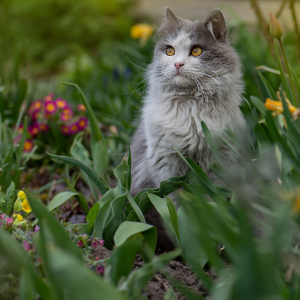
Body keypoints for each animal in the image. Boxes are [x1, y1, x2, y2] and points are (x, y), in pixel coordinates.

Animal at [130, 7, 245, 248]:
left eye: (197, 51)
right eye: (170, 51)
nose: (177, 64)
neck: (189, 107)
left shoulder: (217, 164)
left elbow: (212, 201)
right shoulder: (166, 165)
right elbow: (175, 206)